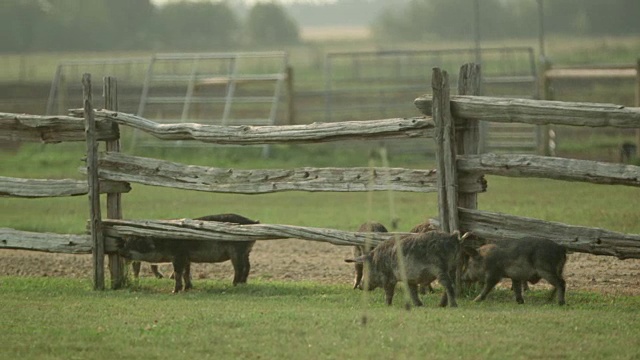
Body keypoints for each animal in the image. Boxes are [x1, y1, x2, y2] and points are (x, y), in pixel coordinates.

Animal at [117, 214, 260, 292]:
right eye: (127, 240)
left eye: (135, 241)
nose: (120, 251)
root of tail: (253, 222)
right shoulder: (186, 257)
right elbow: (186, 272)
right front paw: (188, 288)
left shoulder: (178, 256)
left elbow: (178, 273)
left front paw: (174, 291)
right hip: (246, 252)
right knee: (248, 266)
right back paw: (242, 283)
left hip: (237, 251)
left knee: (239, 268)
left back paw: (234, 285)